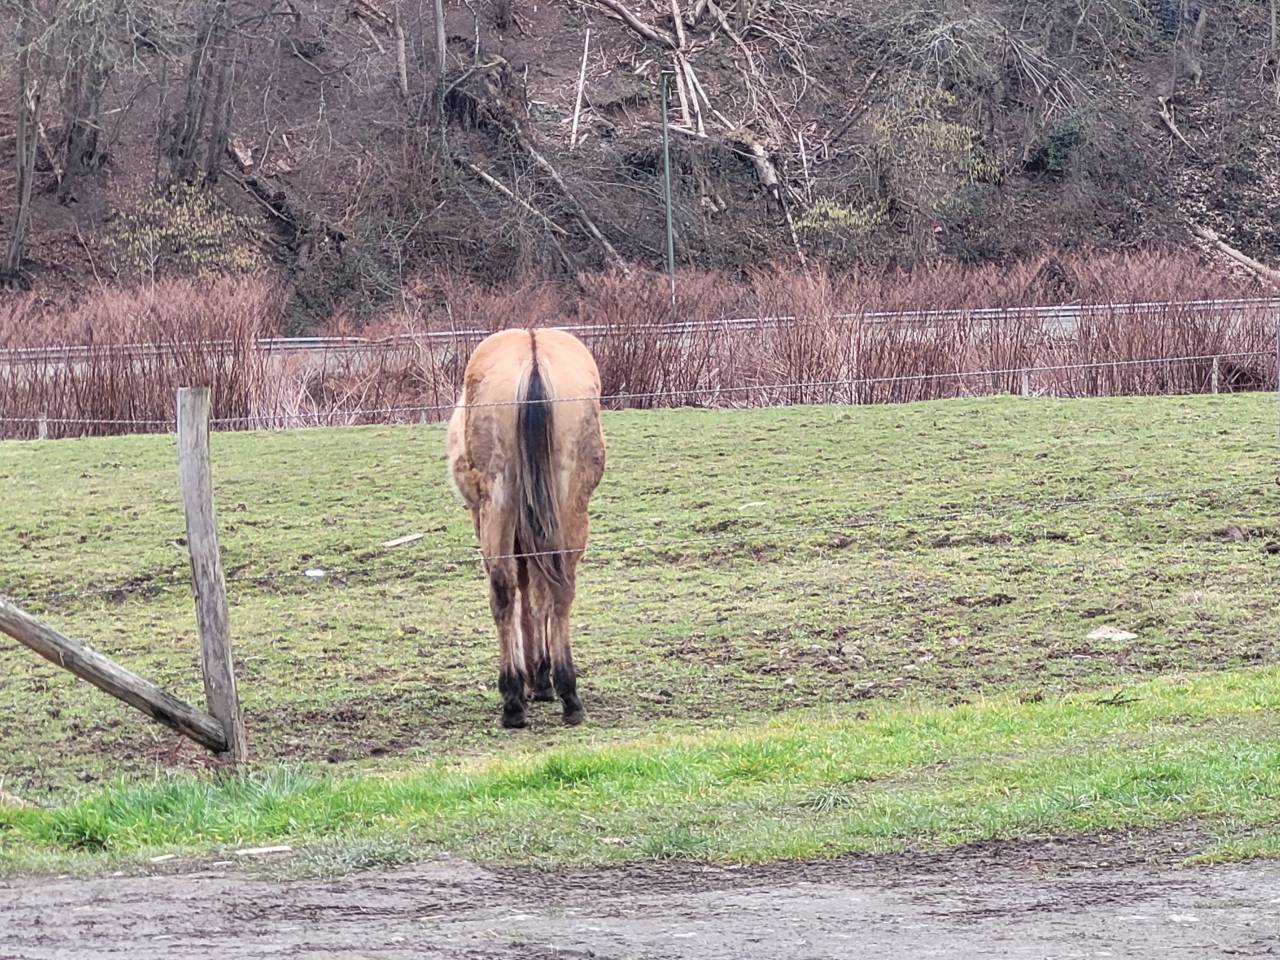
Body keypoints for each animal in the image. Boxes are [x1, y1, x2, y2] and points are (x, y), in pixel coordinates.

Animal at [446, 328, 606, 729]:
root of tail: (532, 351)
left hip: (497, 501)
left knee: (504, 588)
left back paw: (516, 697)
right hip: (566, 500)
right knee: (559, 586)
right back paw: (566, 693)